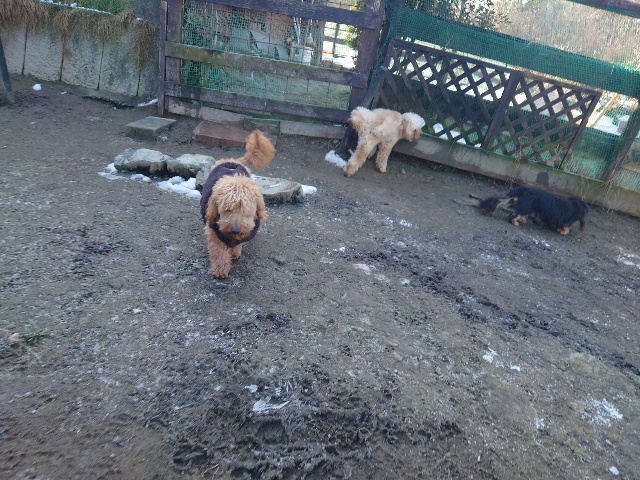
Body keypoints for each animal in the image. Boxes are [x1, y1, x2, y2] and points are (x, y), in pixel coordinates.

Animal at [200, 130, 275, 278]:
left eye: (245, 211)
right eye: (227, 209)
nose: (235, 230)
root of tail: (234, 160)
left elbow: (237, 243)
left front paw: (235, 253)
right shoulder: (214, 233)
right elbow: (219, 252)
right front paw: (220, 270)